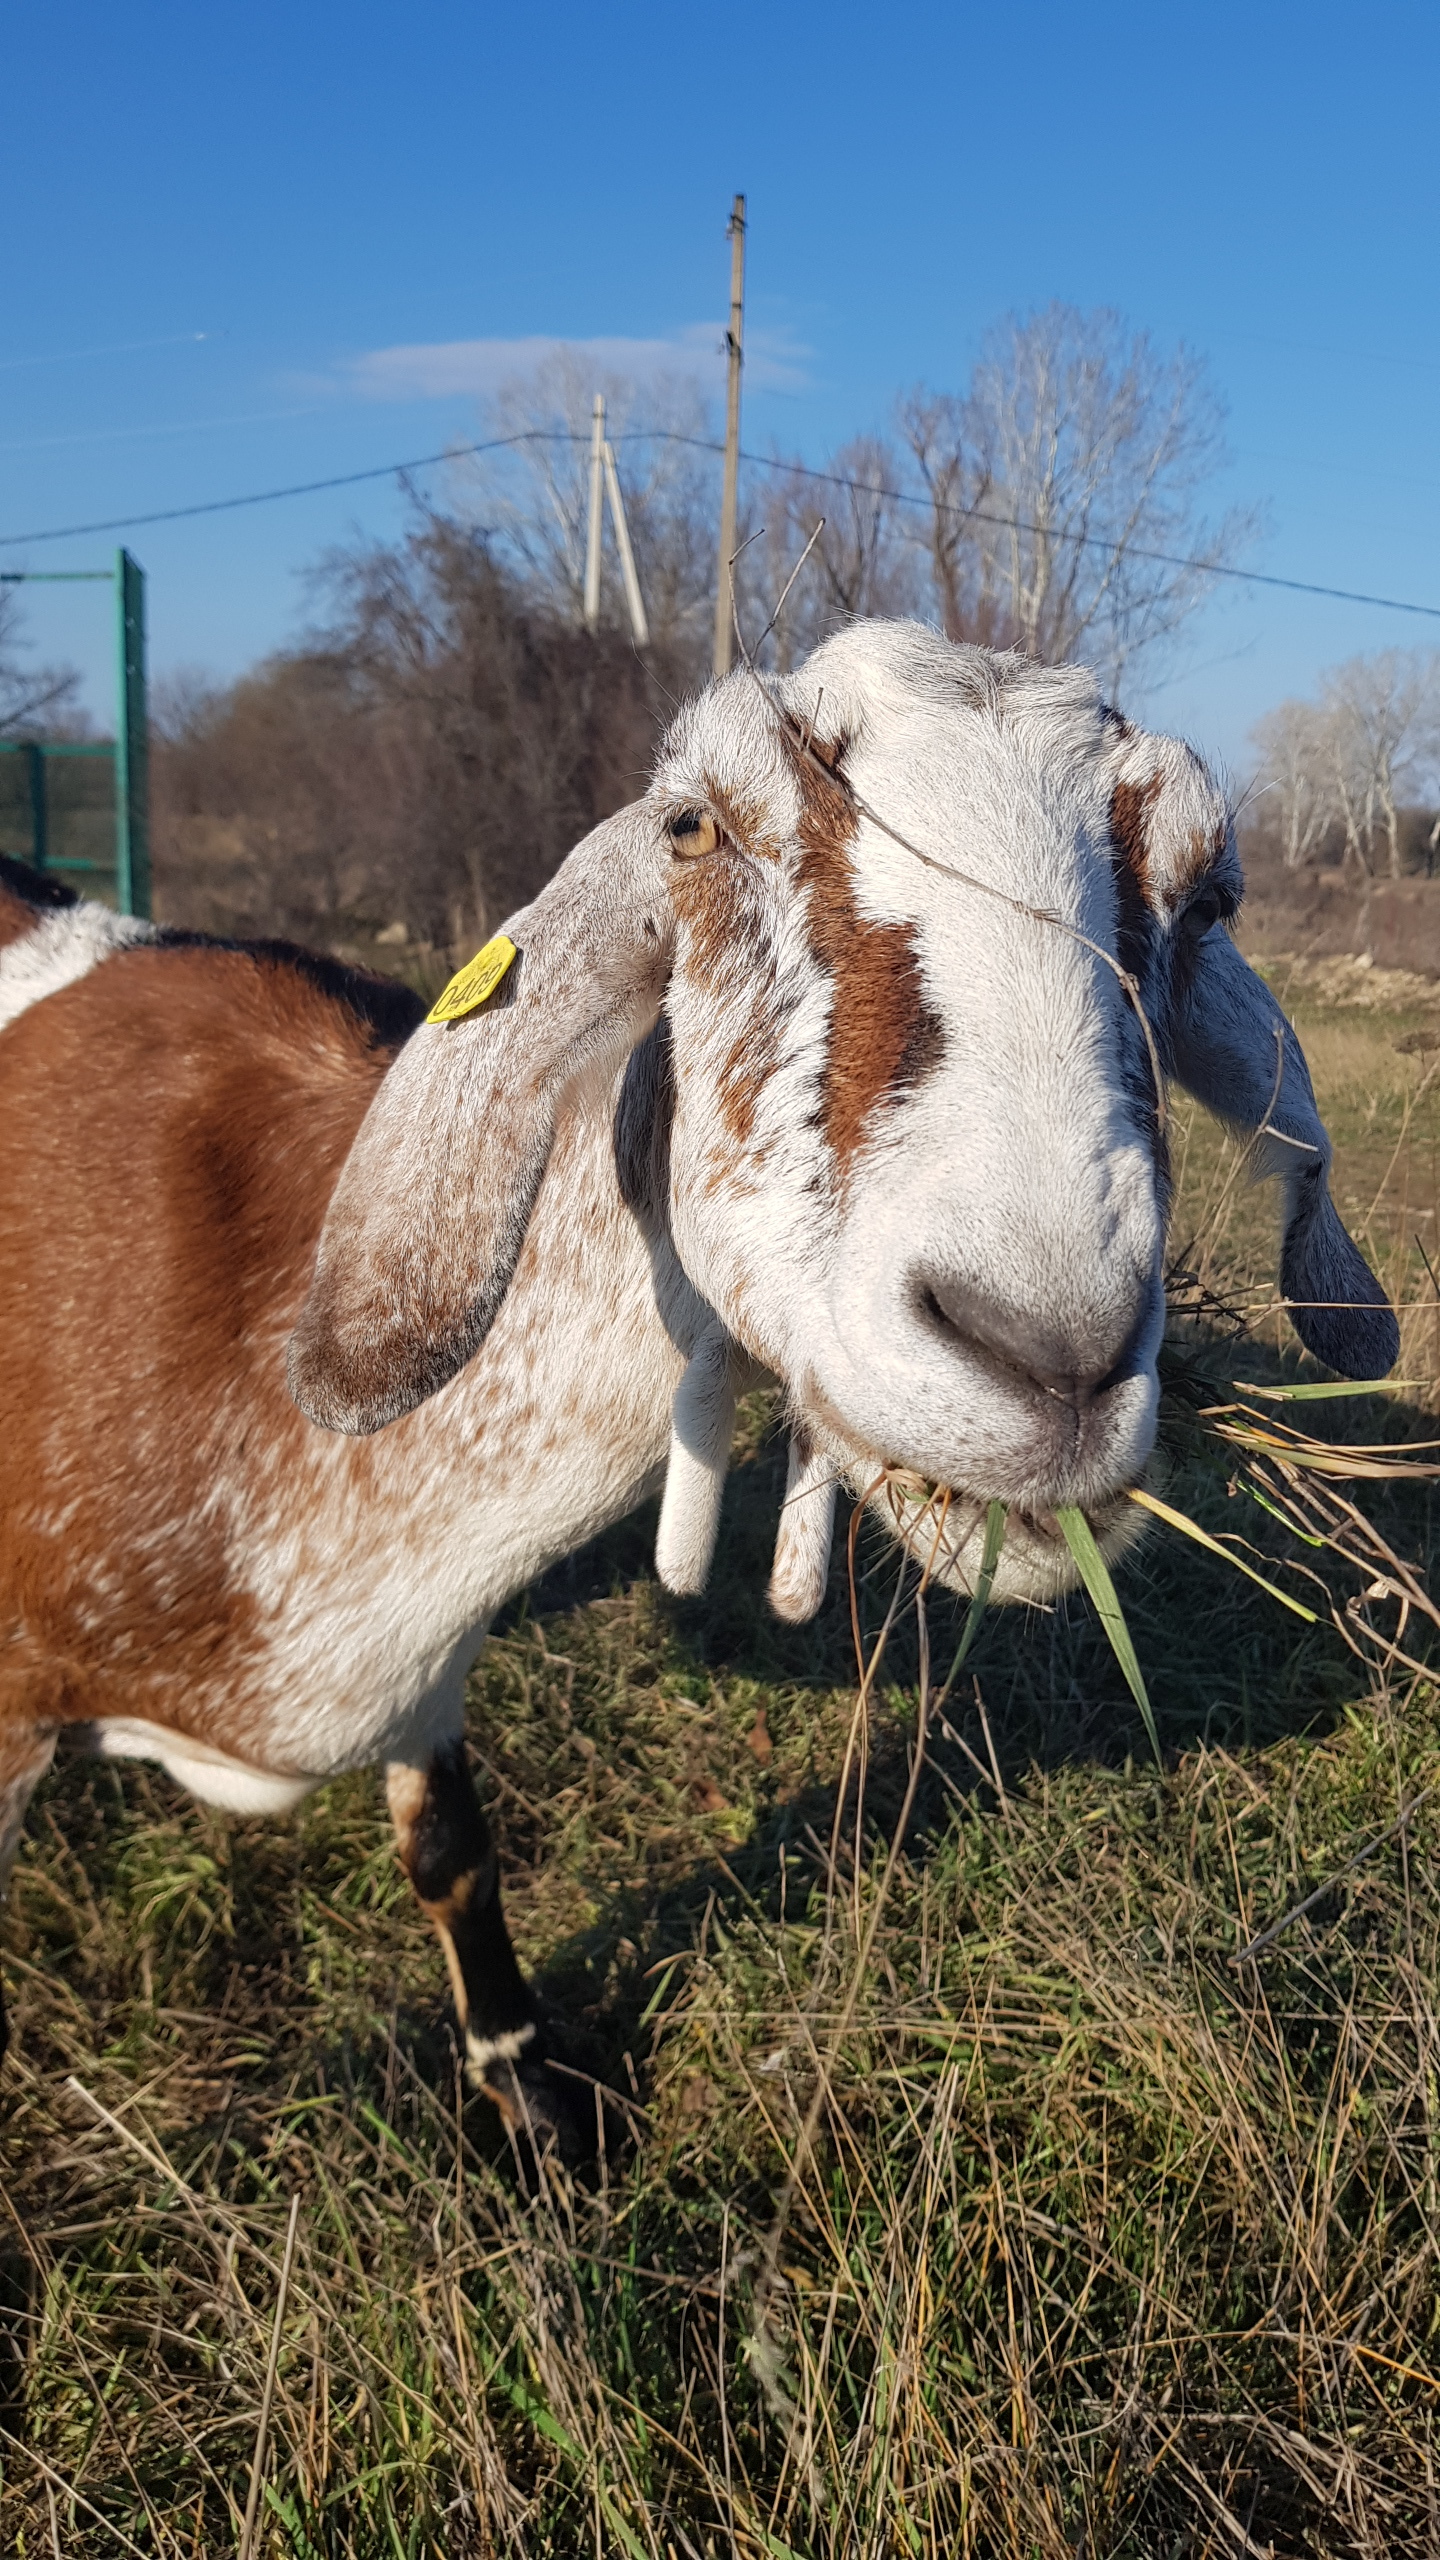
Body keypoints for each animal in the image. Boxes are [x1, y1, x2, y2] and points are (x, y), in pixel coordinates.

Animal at [0, 629, 1393, 2150]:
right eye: (696, 827)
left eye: (1207, 900)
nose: (1051, 1347)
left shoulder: (431, 1674)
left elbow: (453, 1852)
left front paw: (532, 2097)